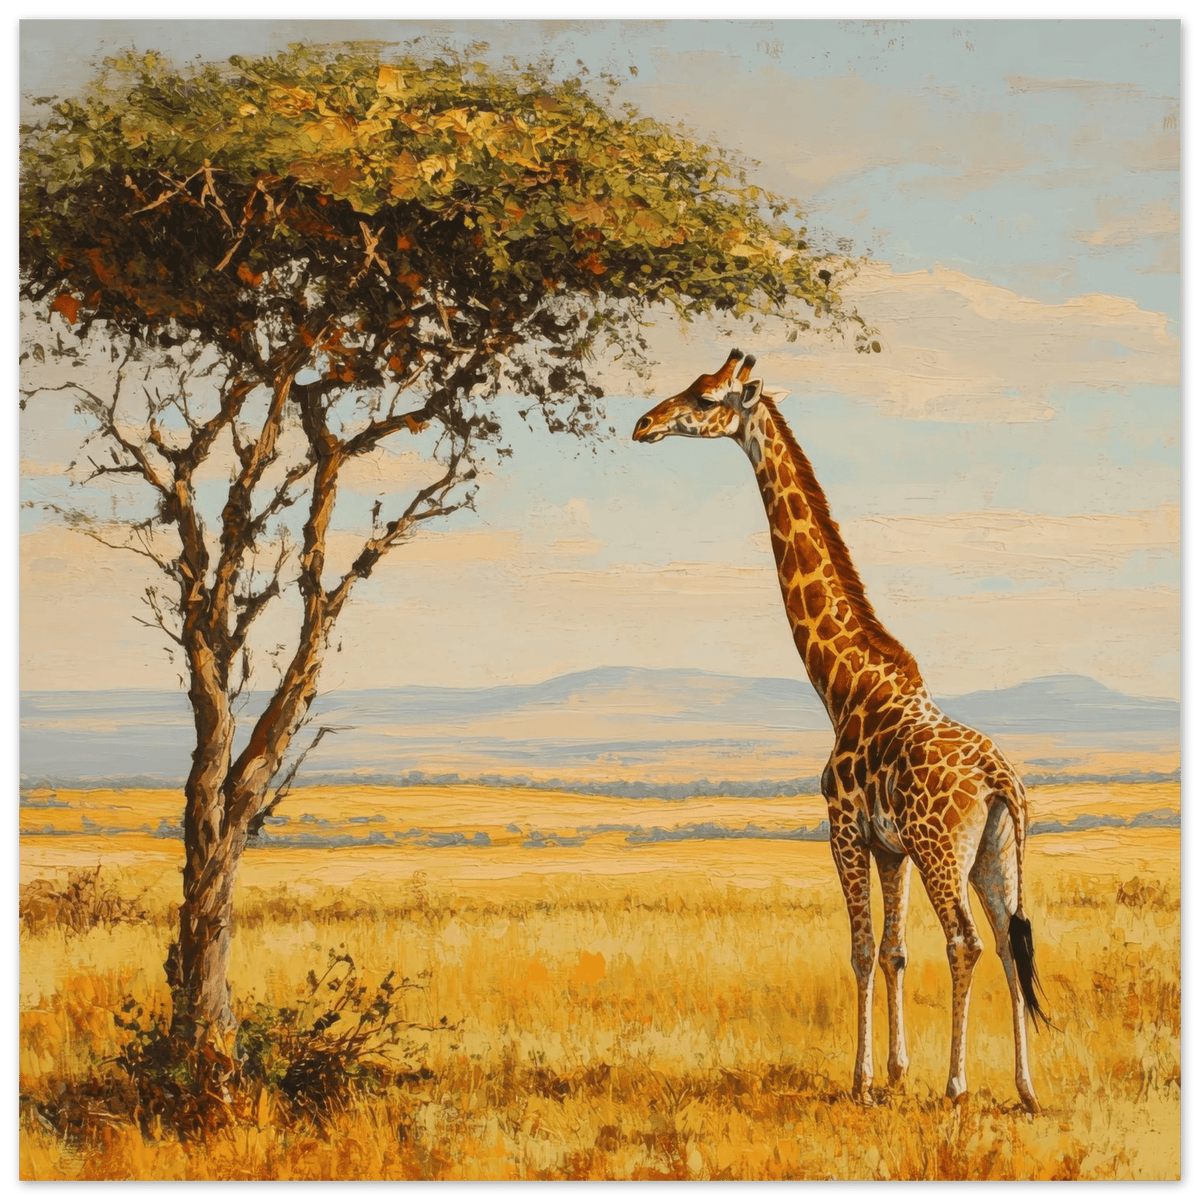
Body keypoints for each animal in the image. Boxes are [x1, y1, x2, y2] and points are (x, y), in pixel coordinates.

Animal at [632, 348, 1047, 1113]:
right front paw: (897, 1072)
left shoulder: (844, 831)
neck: (843, 682)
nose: (643, 423)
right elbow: (893, 951)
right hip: (995, 854)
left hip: (945, 852)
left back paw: (958, 1087)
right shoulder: (891, 848)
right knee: (1011, 943)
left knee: (967, 943)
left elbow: (858, 951)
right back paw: (1026, 1091)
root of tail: (1002, 780)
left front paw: (863, 1083)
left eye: (704, 397)